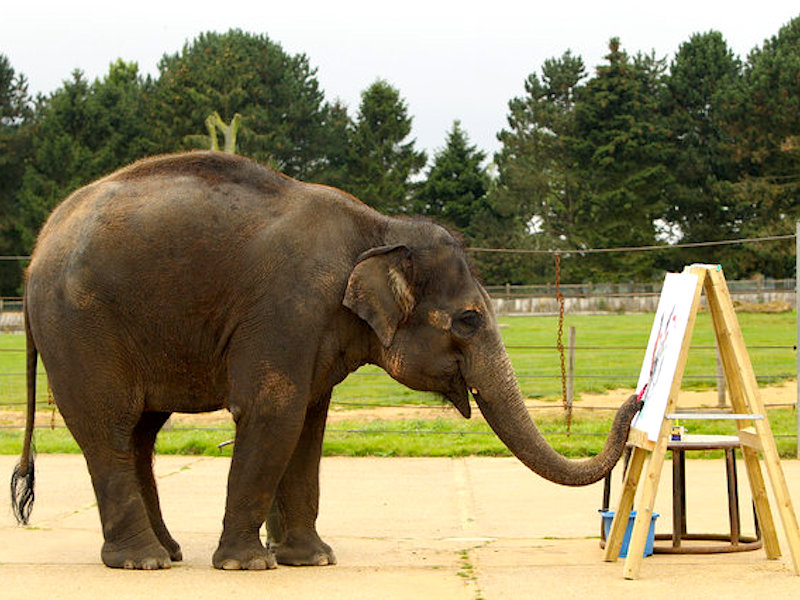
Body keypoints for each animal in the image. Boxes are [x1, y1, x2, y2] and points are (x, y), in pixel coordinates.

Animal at [9, 151, 640, 572]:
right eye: (468, 321)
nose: (636, 402)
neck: (380, 227)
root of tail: (37, 253)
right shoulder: (286, 309)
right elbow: (273, 413)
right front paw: (248, 566)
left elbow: (309, 425)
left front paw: (312, 560)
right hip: (83, 329)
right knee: (110, 427)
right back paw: (144, 563)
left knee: (141, 432)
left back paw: (168, 552)